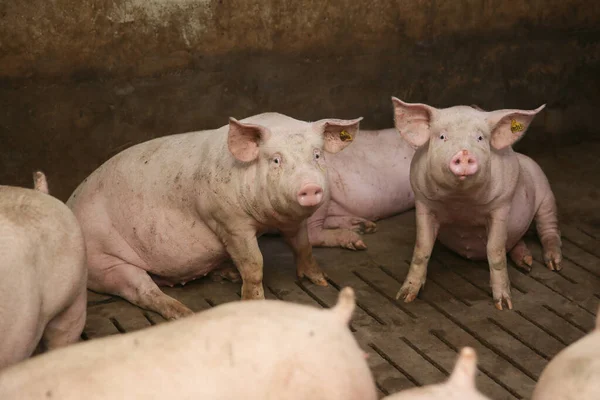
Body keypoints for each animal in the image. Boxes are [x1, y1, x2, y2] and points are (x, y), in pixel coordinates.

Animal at [68, 111, 364, 320]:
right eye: (276, 160)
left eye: (317, 155)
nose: (310, 187)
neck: (266, 220)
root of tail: (70, 204)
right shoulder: (228, 221)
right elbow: (253, 263)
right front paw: (254, 302)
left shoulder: (289, 220)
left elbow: (303, 246)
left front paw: (320, 281)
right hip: (105, 264)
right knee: (143, 291)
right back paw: (185, 312)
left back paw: (227, 274)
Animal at [394, 97, 564, 310]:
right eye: (442, 136)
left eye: (480, 138)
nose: (465, 153)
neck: (461, 201)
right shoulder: (423, 202)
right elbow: (422, 248)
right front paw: (404, 297)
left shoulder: (501, 206)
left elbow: (495, 250)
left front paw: (504, 305)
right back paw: (526, 262)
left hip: (546, 194)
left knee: (549, 229)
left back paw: (553, 264)